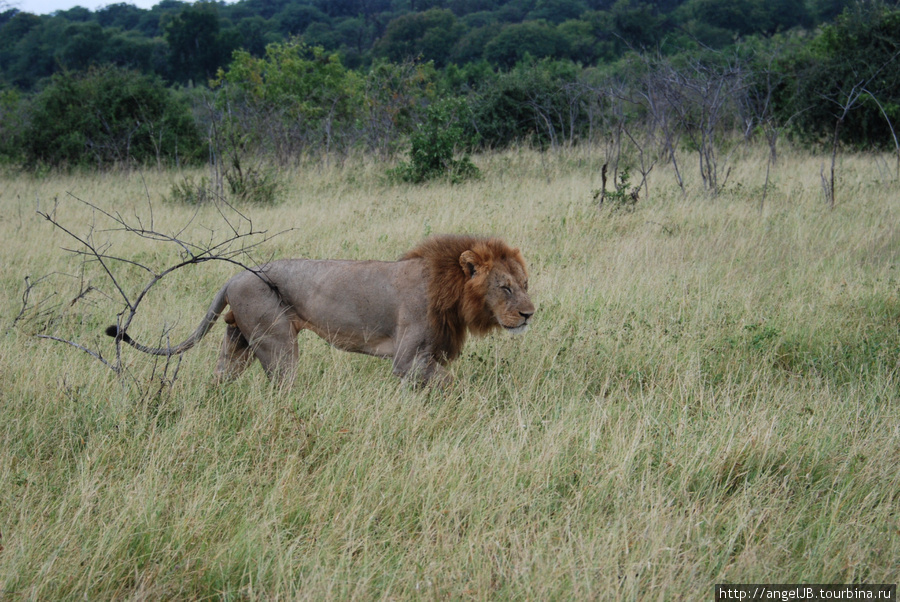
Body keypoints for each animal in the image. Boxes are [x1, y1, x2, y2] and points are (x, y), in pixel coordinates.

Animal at [109, 234, 536, 384]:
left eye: (525, 284)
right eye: (504, 287)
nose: (530, 314)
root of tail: (233, 277)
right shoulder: (408, 358)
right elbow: (448, 384)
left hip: (238, 341)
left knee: (219, 377)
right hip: (276, 340)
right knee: (282, 383)